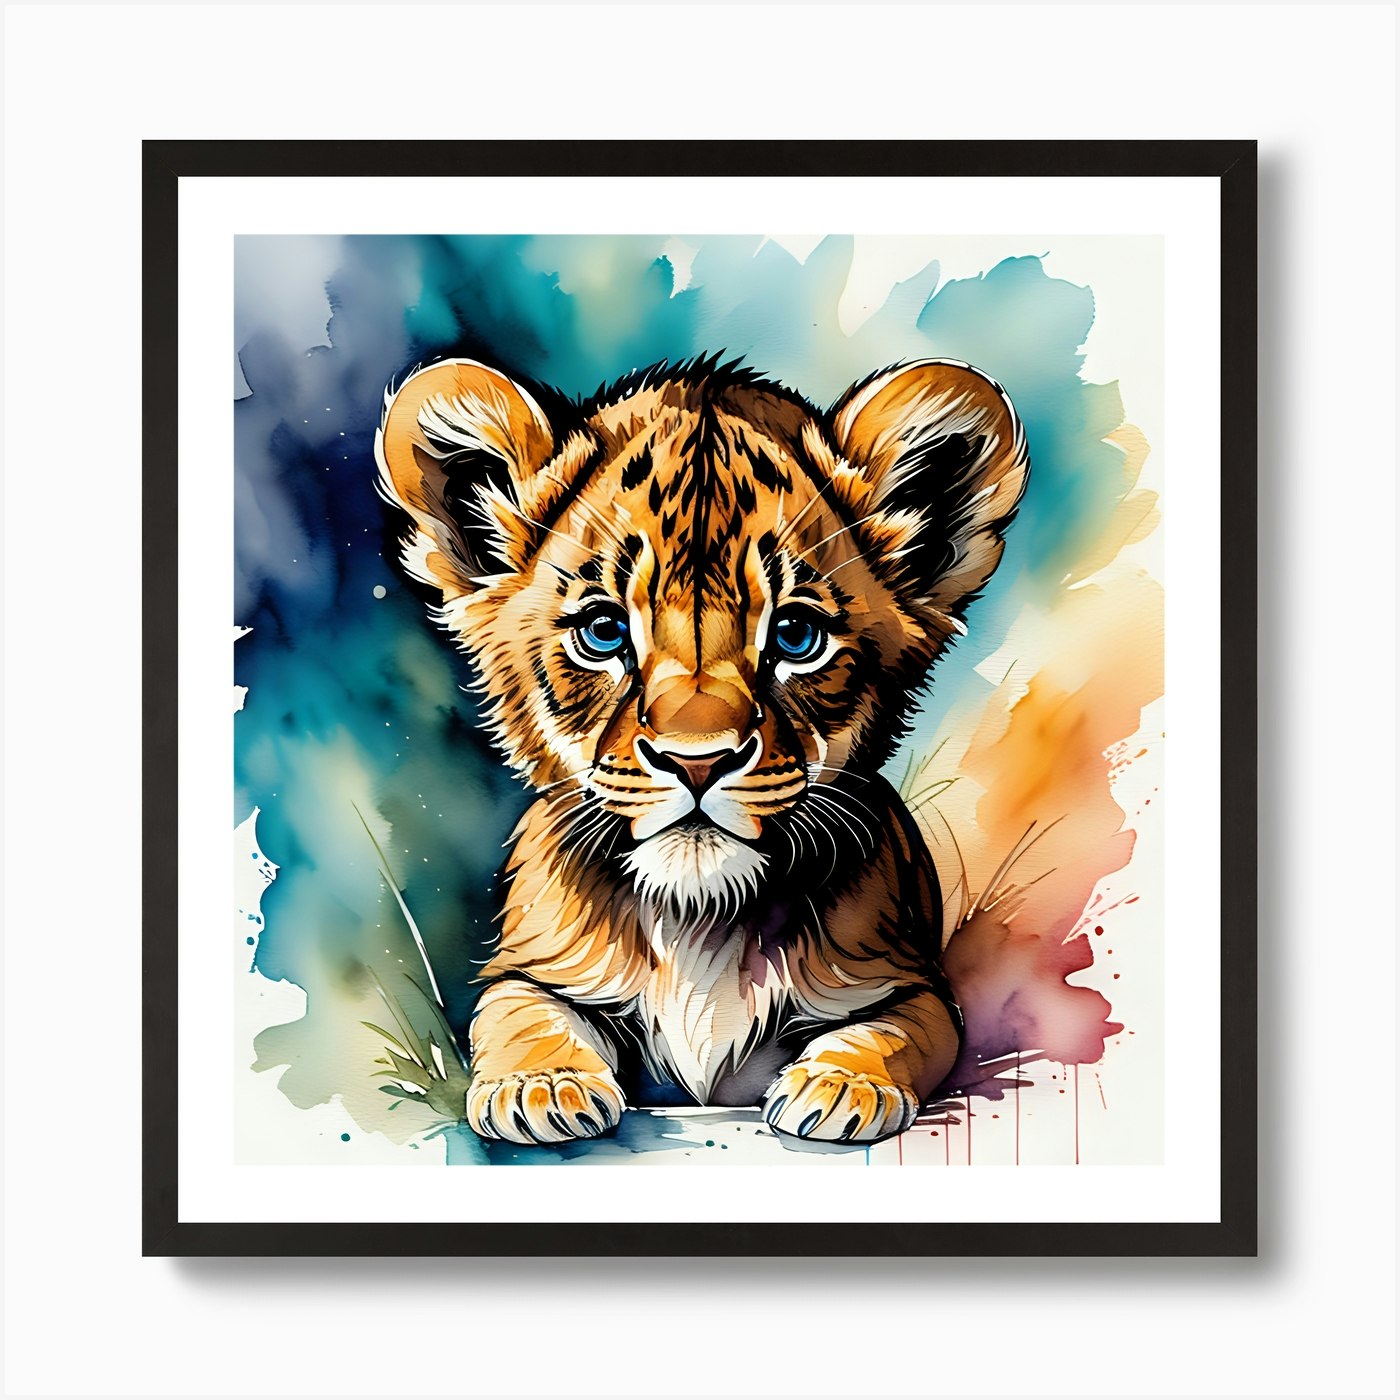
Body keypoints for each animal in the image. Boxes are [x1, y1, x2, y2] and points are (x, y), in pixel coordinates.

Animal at [376, 354, 1028, 1145]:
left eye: (797, 637)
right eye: (602, 631)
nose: (698, 761)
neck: (699, 915)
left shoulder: (909, 984)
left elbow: (895, 1031)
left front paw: (844, 1085)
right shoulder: (529, 970)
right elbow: (520, 1015)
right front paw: (542, 1084)